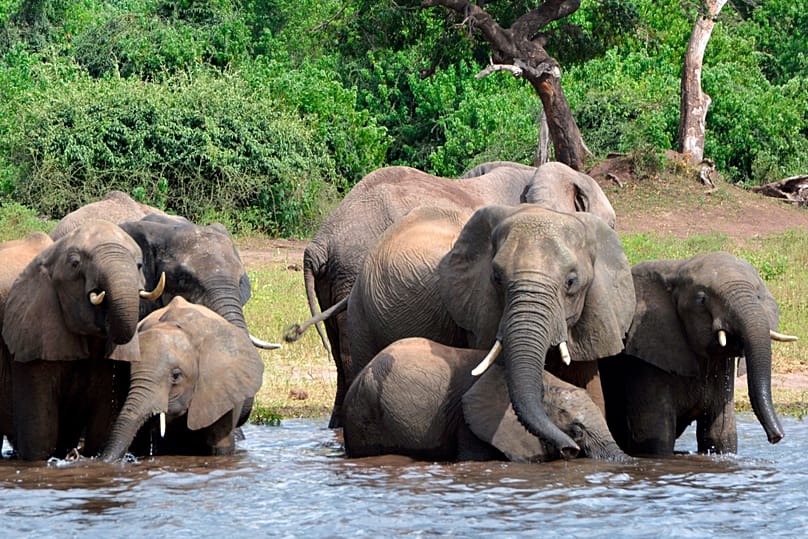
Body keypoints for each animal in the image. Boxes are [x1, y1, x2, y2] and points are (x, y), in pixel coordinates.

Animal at [598, 251, 796, 456]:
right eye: (701, 300)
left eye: (758, 296)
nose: (776, 437)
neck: (676, 269)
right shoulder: (644, 359)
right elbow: (655, 440)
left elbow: (720, 436)